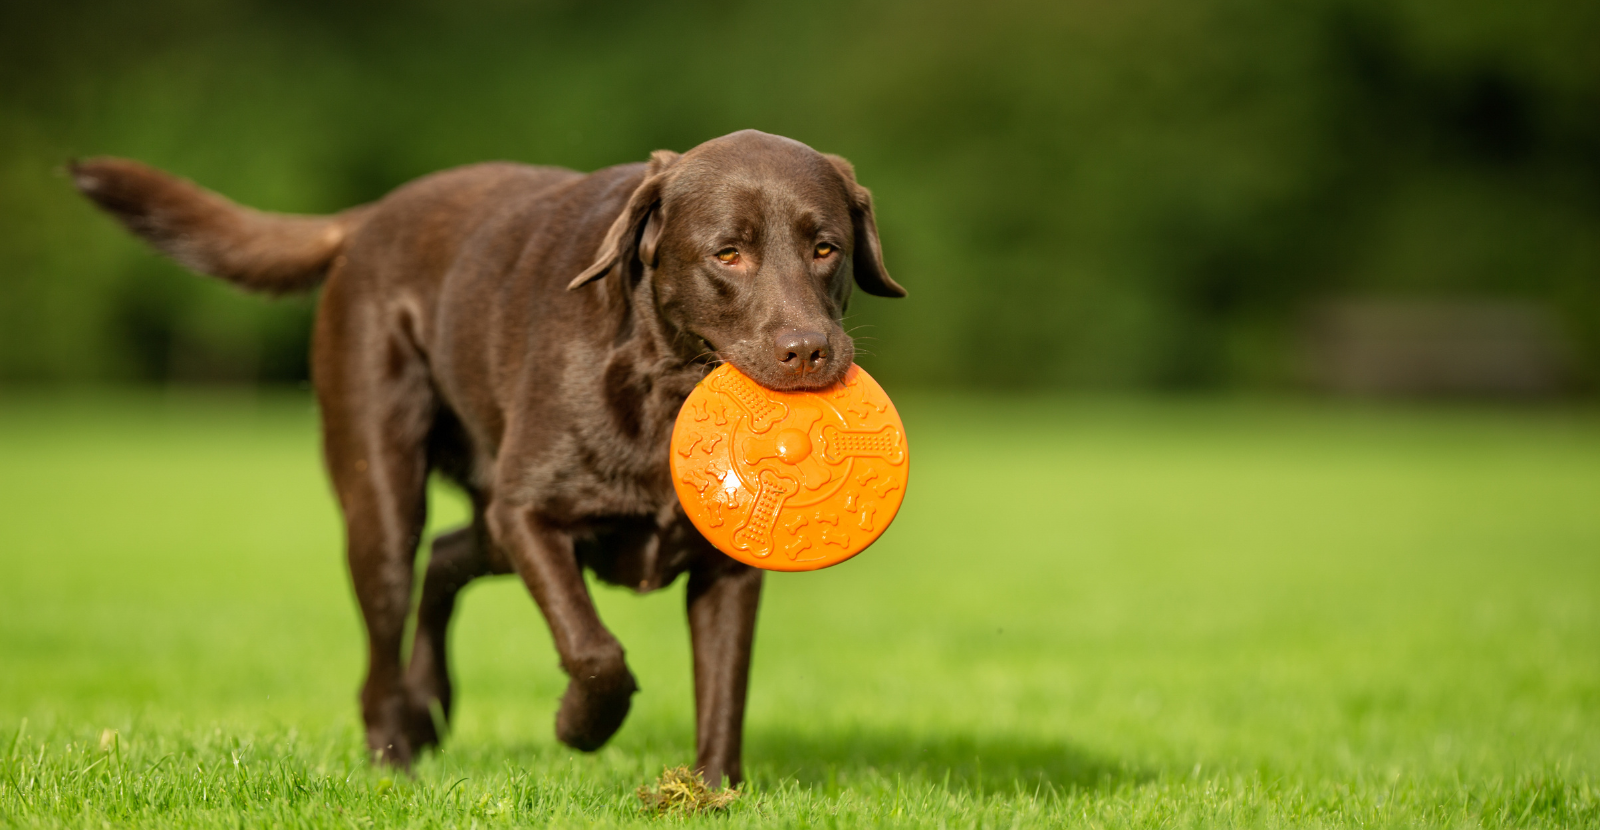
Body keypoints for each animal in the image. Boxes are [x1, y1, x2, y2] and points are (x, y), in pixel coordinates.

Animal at [75, 127, 908, 786]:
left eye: (825, 248)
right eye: (727, 254)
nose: (809, 350)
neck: (664, 387)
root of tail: (370, 217)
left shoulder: (726, 568)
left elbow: (725, 686)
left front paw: (710, 792)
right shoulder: (529, 513)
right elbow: (594, 650)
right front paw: (580, 726)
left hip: (482, 522)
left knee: (446, 558)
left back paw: (430, 705)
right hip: (385, 497)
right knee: (388, 626)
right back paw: (394, 754)